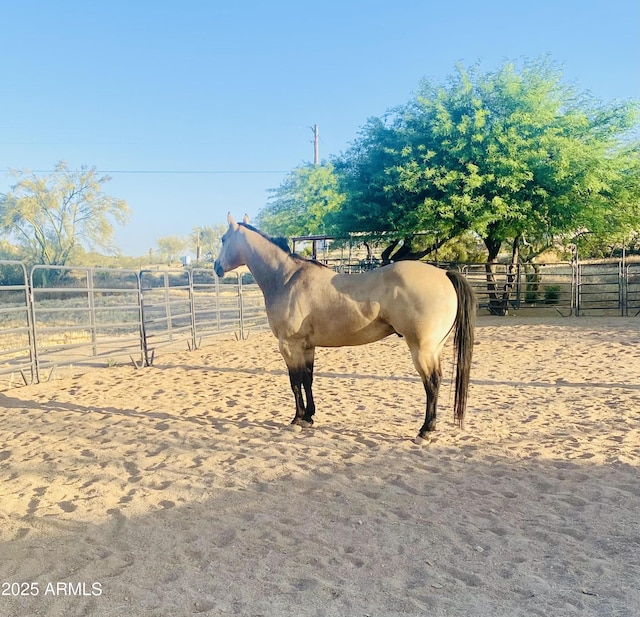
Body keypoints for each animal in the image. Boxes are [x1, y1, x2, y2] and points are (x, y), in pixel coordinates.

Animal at [215, 214, 476, 440]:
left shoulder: (289, 346)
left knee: (431, 383)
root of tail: (444, 273)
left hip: (421, 350)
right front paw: (309, 417)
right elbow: (308, 379)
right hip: (434, 348)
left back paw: (425, 431)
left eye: (223, 239)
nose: (216, 266)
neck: (287, 278)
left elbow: (295, 382)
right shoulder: (307, 347)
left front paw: (297, 419)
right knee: (437, 380)